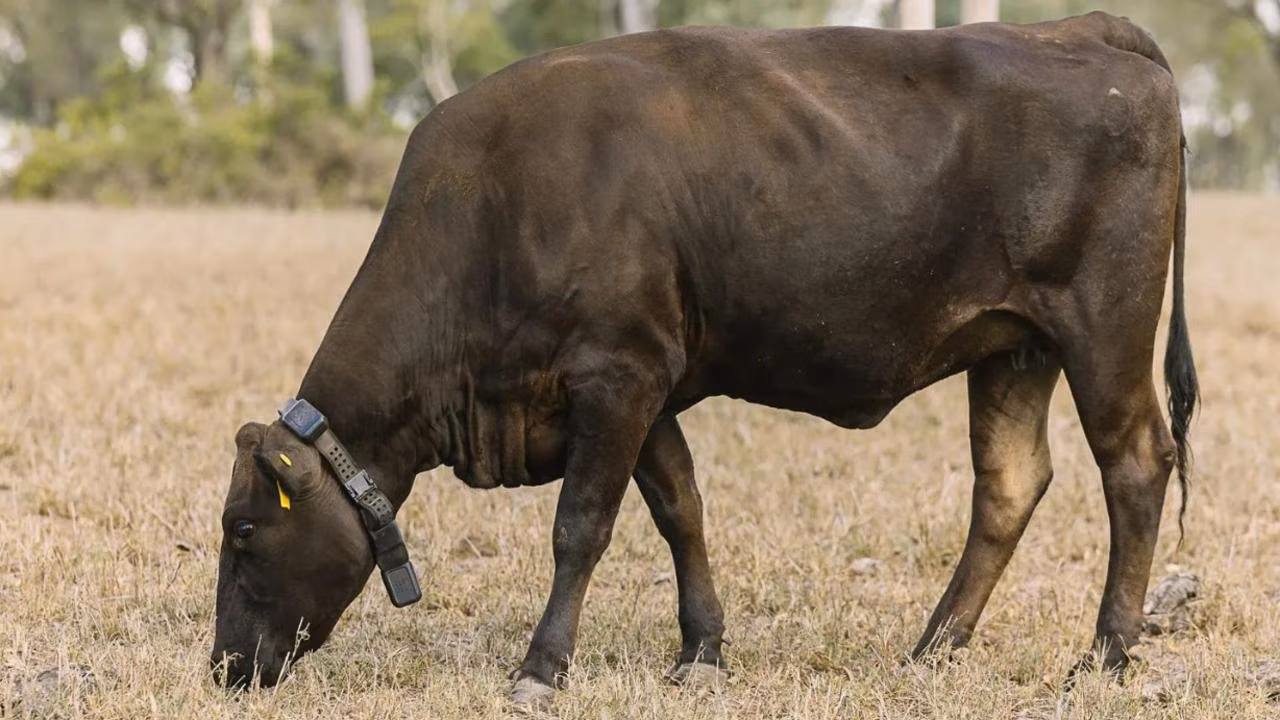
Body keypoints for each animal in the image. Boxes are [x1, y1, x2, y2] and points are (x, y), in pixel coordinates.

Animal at [212, 11, 1198, 705]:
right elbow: (679, 511)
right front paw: (702, 650)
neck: (495, 205)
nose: (223, 666)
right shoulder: (644, 388)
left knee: (1134, 465)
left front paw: (541, 666)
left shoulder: (617, 376)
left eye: (243, 529)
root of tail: (1077, 29)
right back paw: (931, 649)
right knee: (1009, 484)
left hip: (1103, 331)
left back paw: (1106, 652)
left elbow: (581, 527)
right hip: (1013, 348)